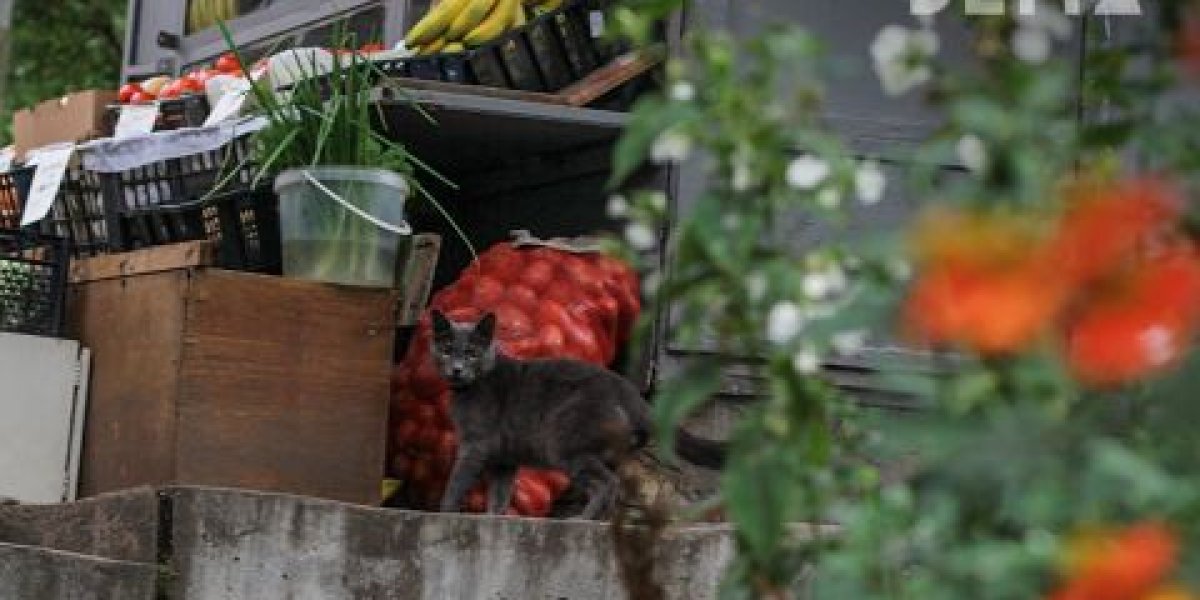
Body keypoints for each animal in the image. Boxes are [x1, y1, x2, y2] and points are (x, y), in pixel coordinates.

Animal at [436, 312, 724, 518]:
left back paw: (582, 519)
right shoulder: (504, 460)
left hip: (567, 446)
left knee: (608, 483)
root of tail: (630, 391)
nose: (457, 369)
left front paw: (445, 511)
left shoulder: (475, 444)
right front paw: (494, 518)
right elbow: (499, 494)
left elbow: (458, 479)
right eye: (447, 349)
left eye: (471, 353)